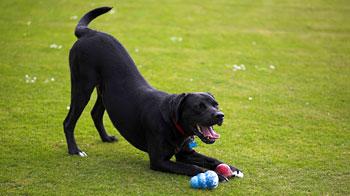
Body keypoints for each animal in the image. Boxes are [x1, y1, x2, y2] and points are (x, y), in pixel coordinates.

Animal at [63, 6, 242, 181]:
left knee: (95, 113)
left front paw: (232, 169)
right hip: (82, 86)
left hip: (105, 92)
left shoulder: (186, 154)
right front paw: (218, 175)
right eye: (199, 107)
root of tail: (89, 32)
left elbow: (211, 159)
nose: (220, 115)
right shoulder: (159, 161)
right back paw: (75, 150)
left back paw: (106, 138)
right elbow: (194, 168)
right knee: (69, 121)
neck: (171, 120)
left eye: (216, 105)